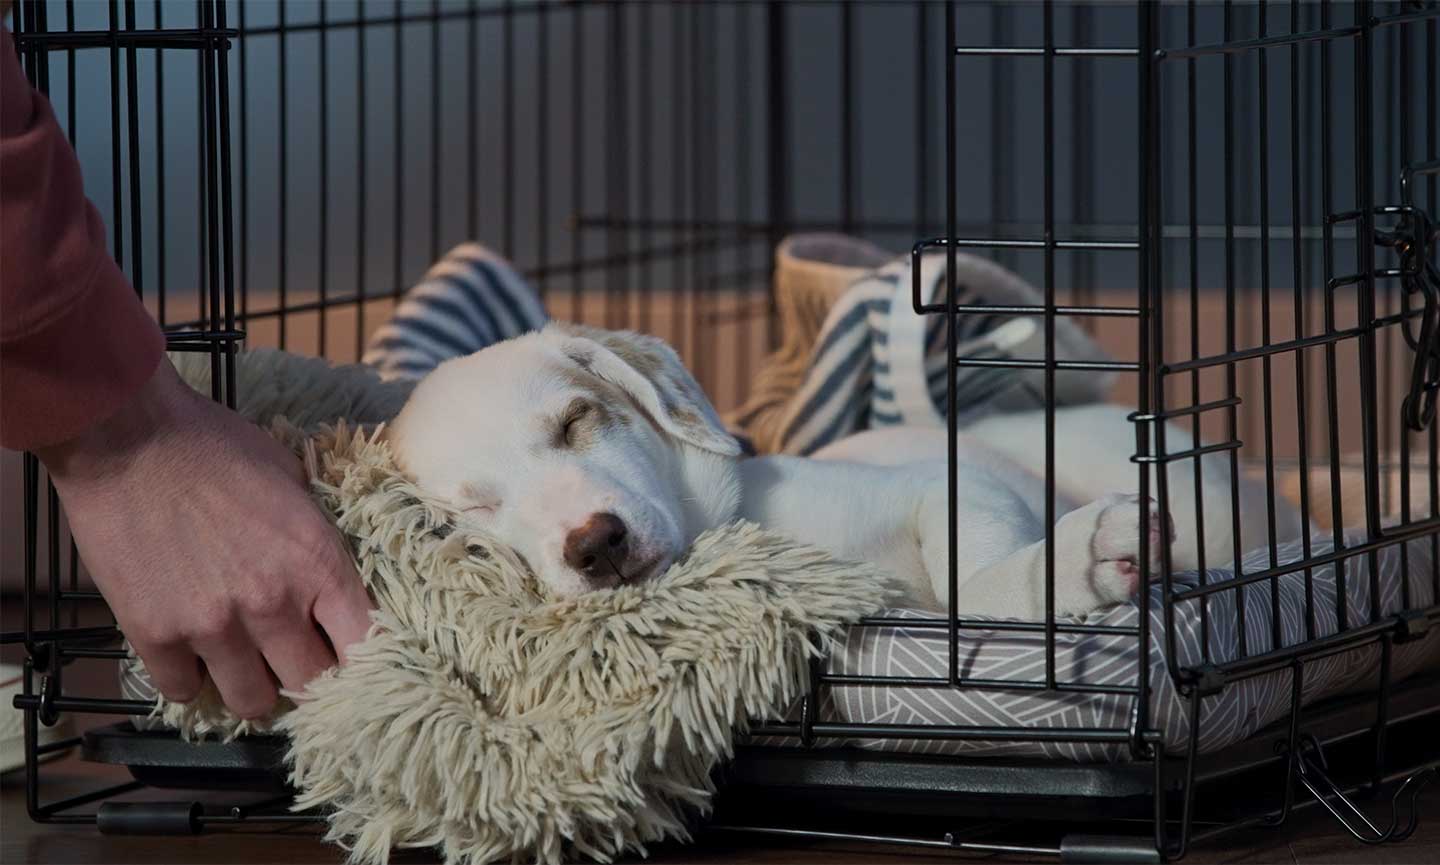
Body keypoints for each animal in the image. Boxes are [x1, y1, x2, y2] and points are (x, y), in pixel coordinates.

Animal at [385, 322, 1307, 613]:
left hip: (1211, 509)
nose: (595, 543)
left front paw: (1073, 562)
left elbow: (976, 582)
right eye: (472, 516)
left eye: (577, 420)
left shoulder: (949, 486)